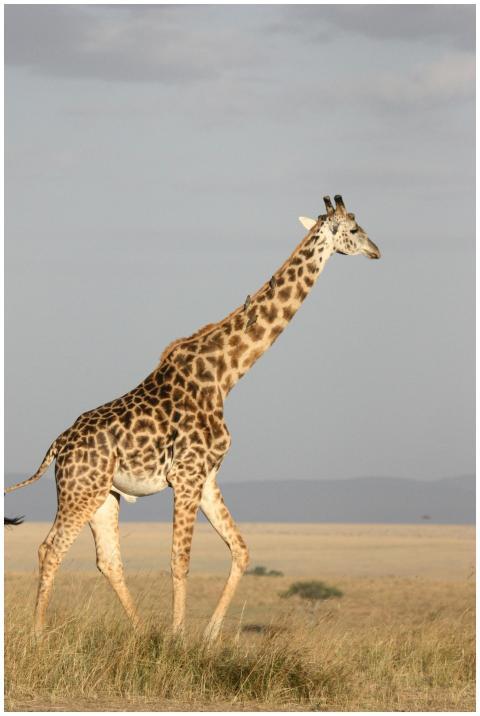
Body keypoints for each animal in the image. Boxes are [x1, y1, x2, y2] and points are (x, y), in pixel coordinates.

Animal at [5, 195, 380, 641]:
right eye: (354, 229)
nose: (376, 251)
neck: (225, 375)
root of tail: (57, 447)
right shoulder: (185, 475)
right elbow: (179, 560)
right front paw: (178, 638)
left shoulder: (207, 476)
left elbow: (241, 549)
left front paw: (209, 635)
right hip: (80, 490)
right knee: (50, 548)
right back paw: (39, 634)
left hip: (104, 495)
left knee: (108, 559)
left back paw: (141, 631)